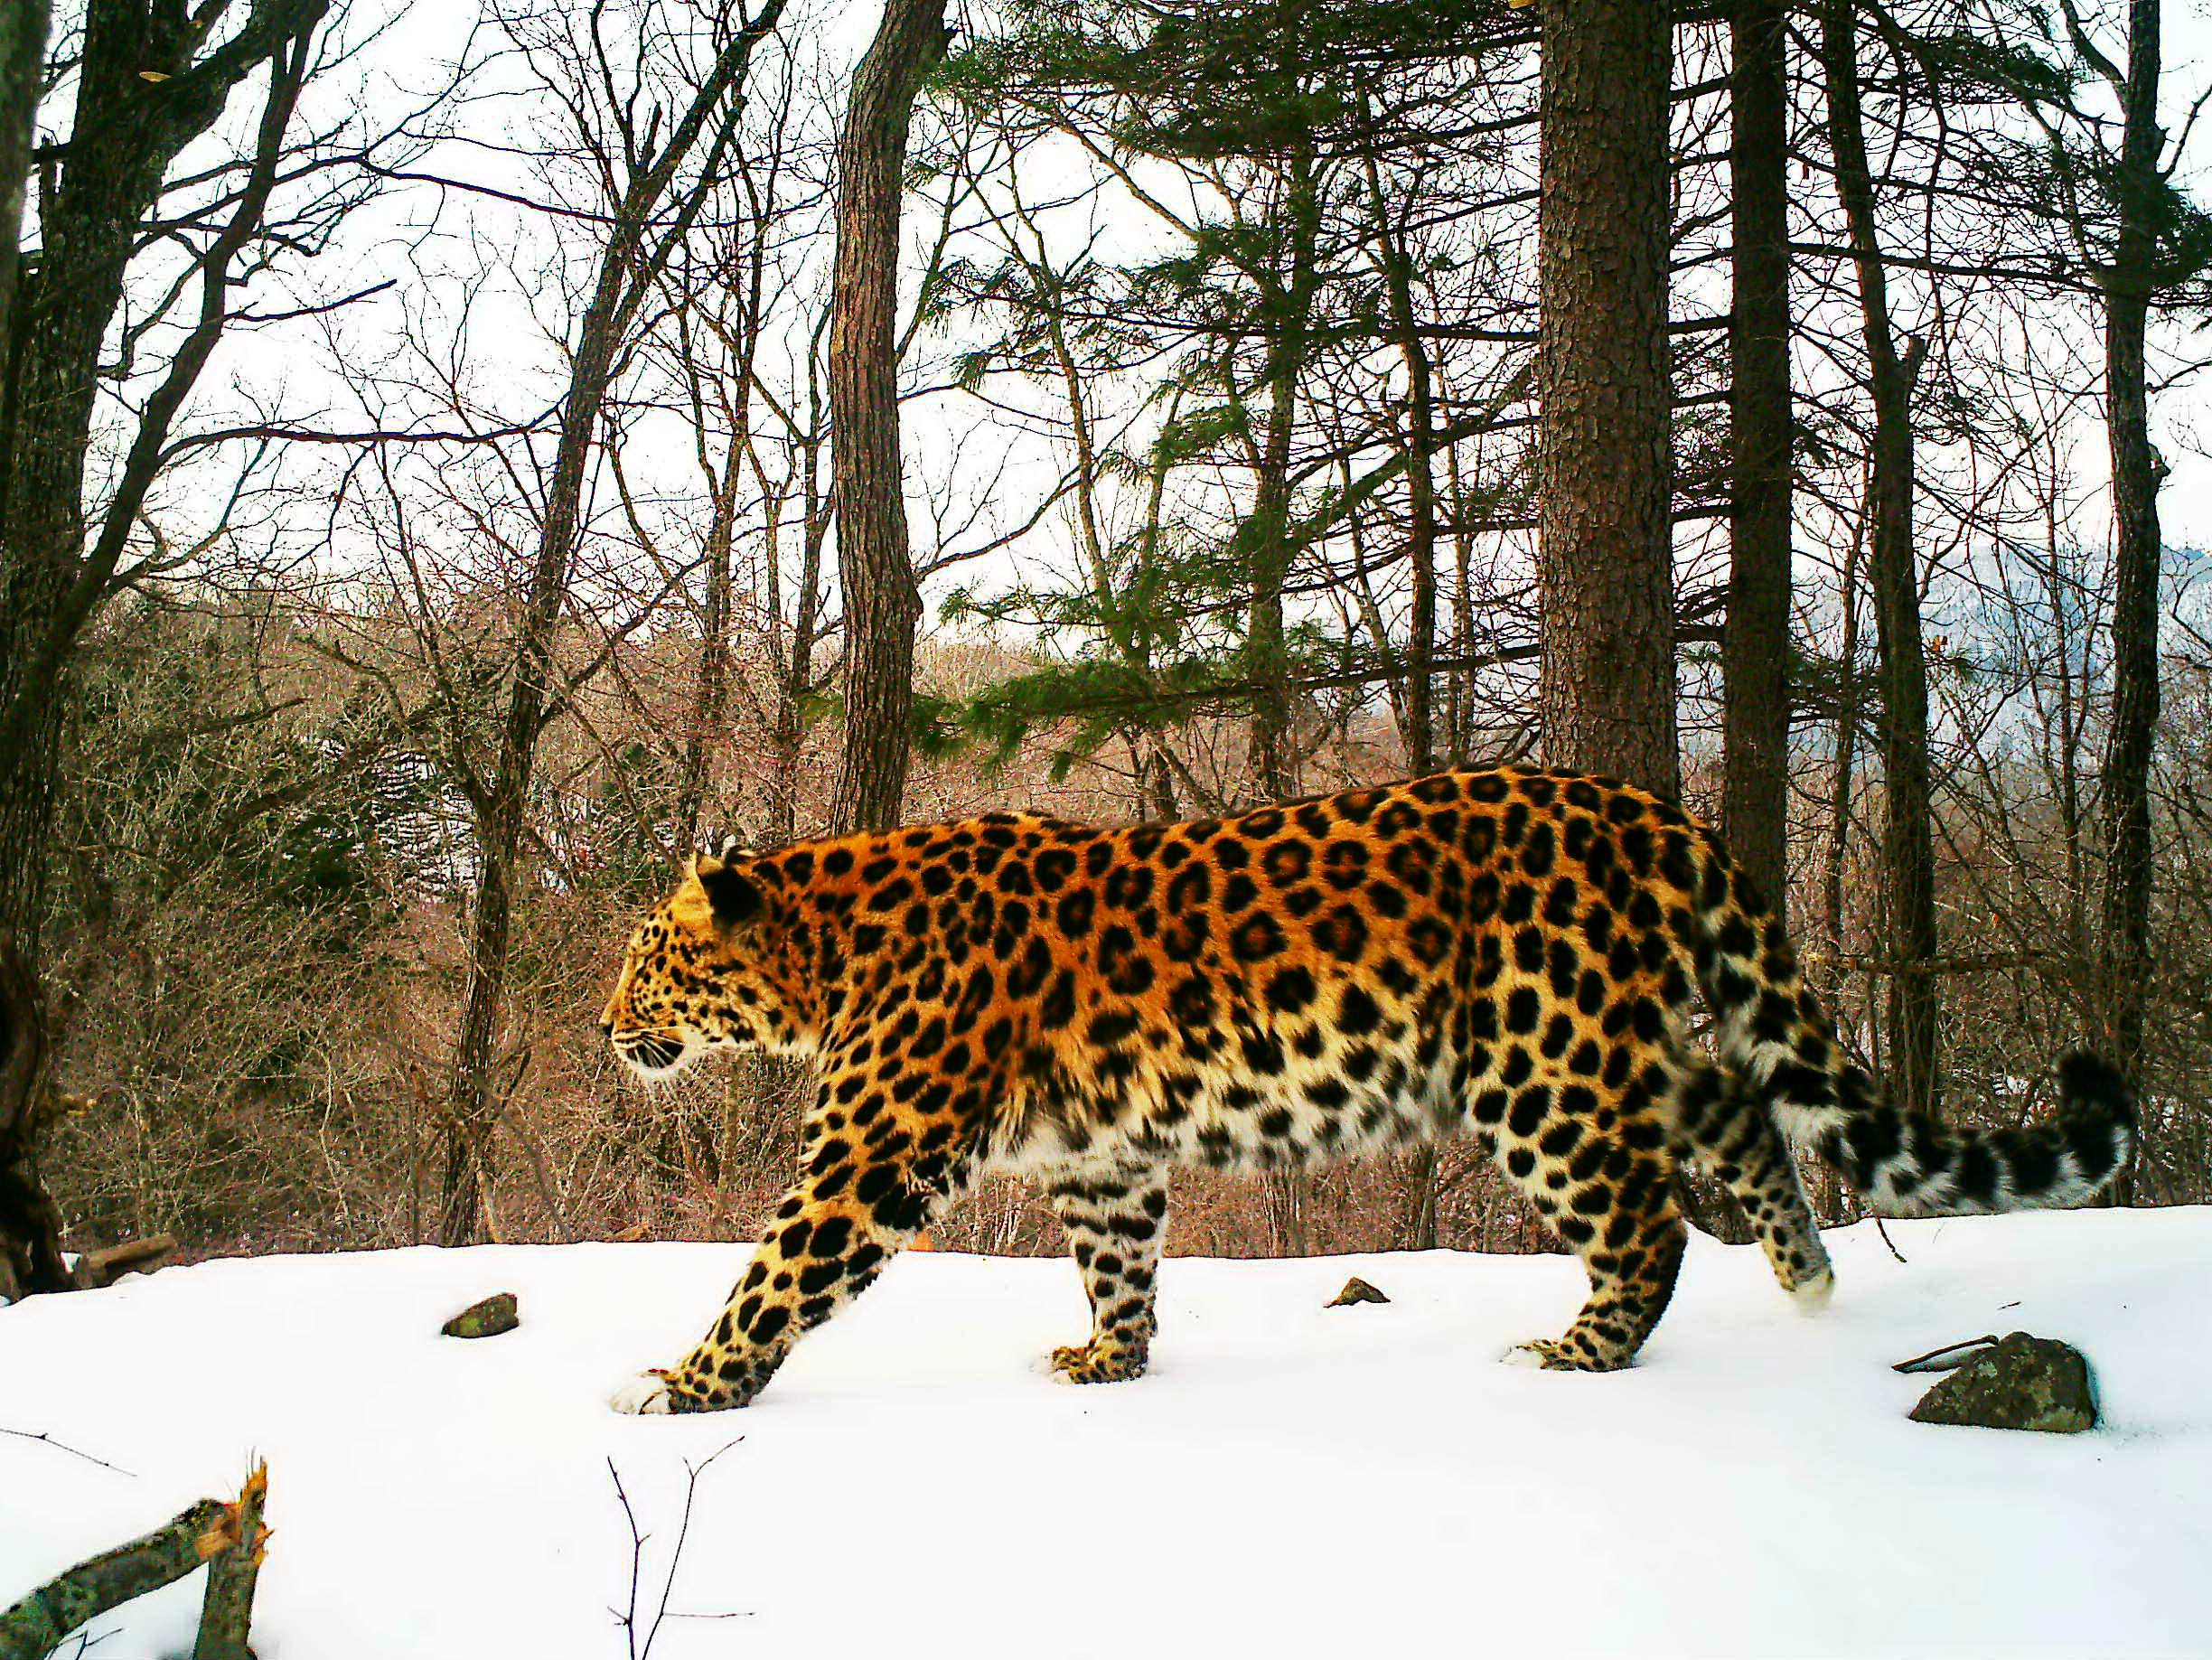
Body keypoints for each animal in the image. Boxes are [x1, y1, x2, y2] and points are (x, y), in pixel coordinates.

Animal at [596, 765, 2132, 1416]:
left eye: (649, 958)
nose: (607, 1023)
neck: (826, 948)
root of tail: (1647, 805)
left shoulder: (874, 1150)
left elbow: (776, 1273)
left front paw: (683, 1387)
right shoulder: (1102, 1159)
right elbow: (1119, 1267)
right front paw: (1110, 1366)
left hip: (1534, 1057)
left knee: (1645, 1218)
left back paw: (1580, 1354)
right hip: (1607, 1041)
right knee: (1740, 1106)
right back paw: (1807, 1285)